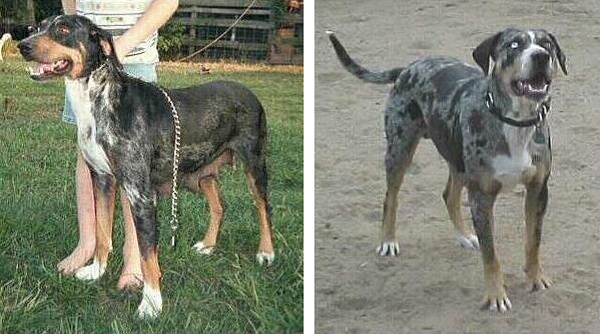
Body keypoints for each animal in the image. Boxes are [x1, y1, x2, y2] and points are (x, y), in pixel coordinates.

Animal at [16, 15, 274, 318]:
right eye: (36, 28)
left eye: (63, 29)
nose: (23, 45)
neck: (101, 101)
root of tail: (249, 92)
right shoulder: (102, 180)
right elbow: (102, 232)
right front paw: (96, 271)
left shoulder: (140, 195)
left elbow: (148, 255)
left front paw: (151, 303)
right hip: (199, 174)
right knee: (219, 204)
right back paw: (208, 245)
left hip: (254, 164)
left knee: (263, 208)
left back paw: (266, 252)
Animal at [328, 28, 568, 314]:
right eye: (514, 45)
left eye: (546, 45)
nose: (541, 57)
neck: (514, 123)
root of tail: (408, 68)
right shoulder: (481, 197)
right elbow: (491, 255)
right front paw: (495, 295)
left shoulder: (538, 190)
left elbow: (533, 241)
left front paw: (535, 277)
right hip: (400, 150)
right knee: (391, 197)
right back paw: (388, 240)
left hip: (456, 159)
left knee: (449, 195)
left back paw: (464, 236)